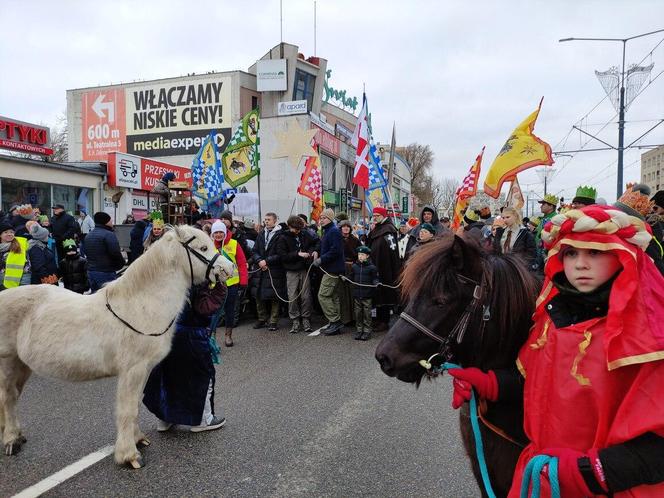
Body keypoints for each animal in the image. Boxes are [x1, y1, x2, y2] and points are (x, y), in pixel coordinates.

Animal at [0, 225, 233, 466]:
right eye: (203, 248)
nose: (229, 269)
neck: (139, 305)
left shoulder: (145, 370)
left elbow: (136, 406)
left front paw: (138, 439)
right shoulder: (132, 370)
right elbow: (127, 410)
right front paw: (129, 455)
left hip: (23, 365)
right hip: (8, 362)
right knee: (8, 397)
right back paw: (11, 440)